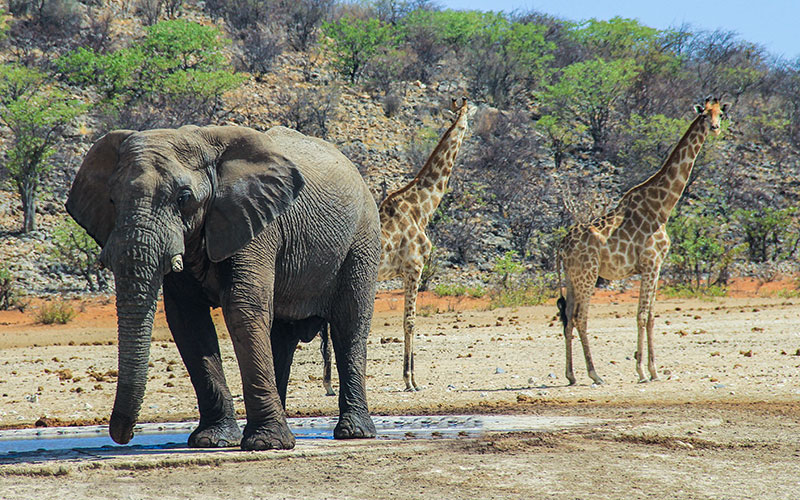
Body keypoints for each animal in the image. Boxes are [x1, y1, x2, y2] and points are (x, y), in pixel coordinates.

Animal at [65, 124, 382, 450]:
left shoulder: (256, 223)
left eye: (183, 198)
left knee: (349, 325)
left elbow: (242, 308)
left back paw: (353, 432)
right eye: (112, 200)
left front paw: (264, 445)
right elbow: (187, 320)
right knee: (282, 337)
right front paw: (212, 440)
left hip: (363, 239)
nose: (123, 436)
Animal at [322, 97, 476, 392]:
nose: (469, 128)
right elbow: (410, 322)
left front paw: (412, 378)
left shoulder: (407, 271)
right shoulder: (414, 267)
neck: (422, 209)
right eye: (467, 115)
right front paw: (410, 380)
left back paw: (329, 384)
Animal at [552, 98, 728, 386]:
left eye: (720, 113)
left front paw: (654, 370)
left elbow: (652, 317)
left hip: (571, 276)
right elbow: (642, 315)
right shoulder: (651, 263)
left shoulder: (656, 266)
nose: (715, 128)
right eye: (704, 115)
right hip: (588, 275)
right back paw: (595, 374)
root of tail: (561, 247)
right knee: (580, 318)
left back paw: (571, 375)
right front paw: (643, 371)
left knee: (567, 318)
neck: (662, 208)